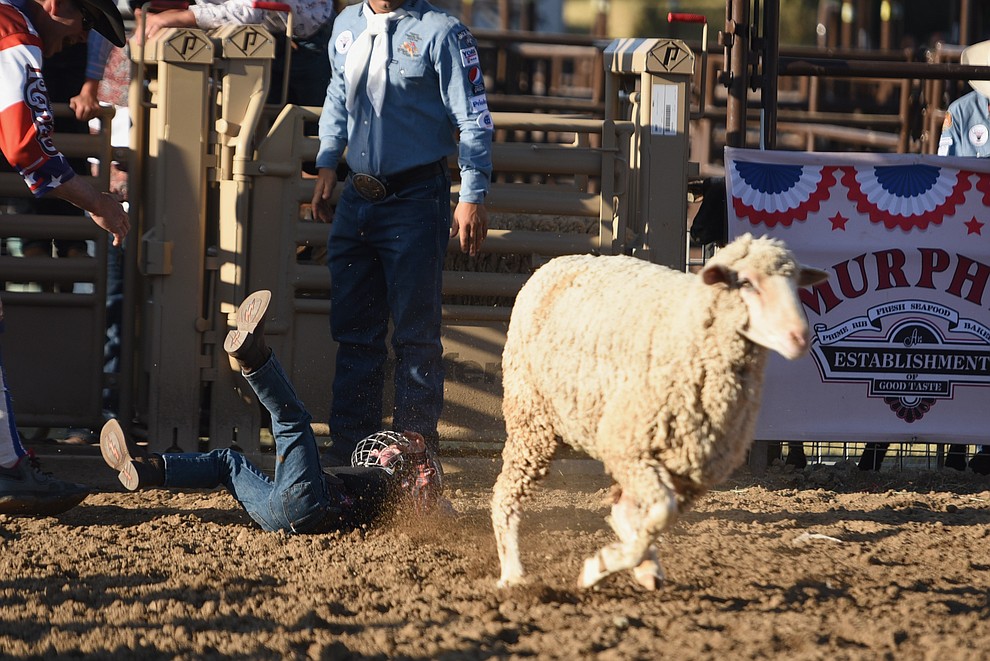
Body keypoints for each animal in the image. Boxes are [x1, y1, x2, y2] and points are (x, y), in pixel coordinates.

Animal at [494, 232, 828, 588]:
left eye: (795, 284)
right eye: (747, 283)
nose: (799, 337)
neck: (688, 330)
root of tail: (555, 263)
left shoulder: (687, 469)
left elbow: (651, 516)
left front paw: (631, 561)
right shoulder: (628, 447)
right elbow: (659, 511)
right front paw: (600, 565)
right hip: (531, 418)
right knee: (505, 494)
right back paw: (512, 573)